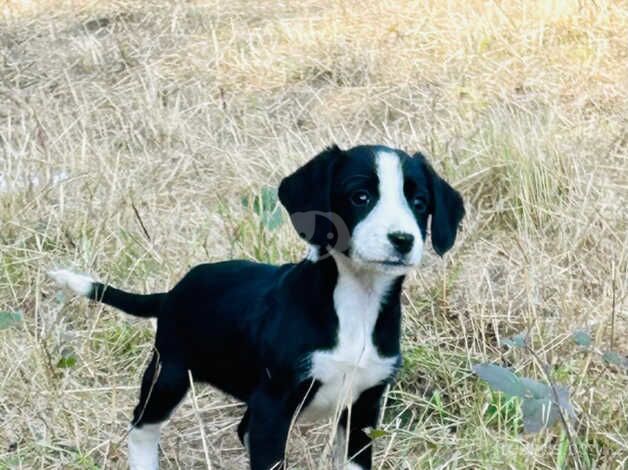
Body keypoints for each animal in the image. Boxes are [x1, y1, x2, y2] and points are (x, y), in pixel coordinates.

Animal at [49, 145, 464, 470]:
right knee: (141, 428)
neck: (356, 302)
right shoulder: (273, 407)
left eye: (419, 203)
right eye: (360, 196)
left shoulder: (362, 408)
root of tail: (174, 290)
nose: (402, 240)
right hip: (169, 373)